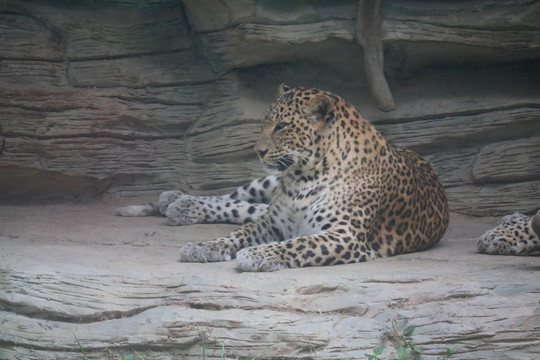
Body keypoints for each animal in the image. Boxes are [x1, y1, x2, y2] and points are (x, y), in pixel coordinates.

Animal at [116, 84, 450, 270]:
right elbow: (239, 232)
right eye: (264, 123)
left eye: (281, 126)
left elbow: (296, 244)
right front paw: (204, 246)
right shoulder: (271, 223)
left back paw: (176, 204)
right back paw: (175, 201)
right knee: (235, 200)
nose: (258, 151)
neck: (304, 178)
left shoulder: (345, 236)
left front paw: (255, 254)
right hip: (265, 182)